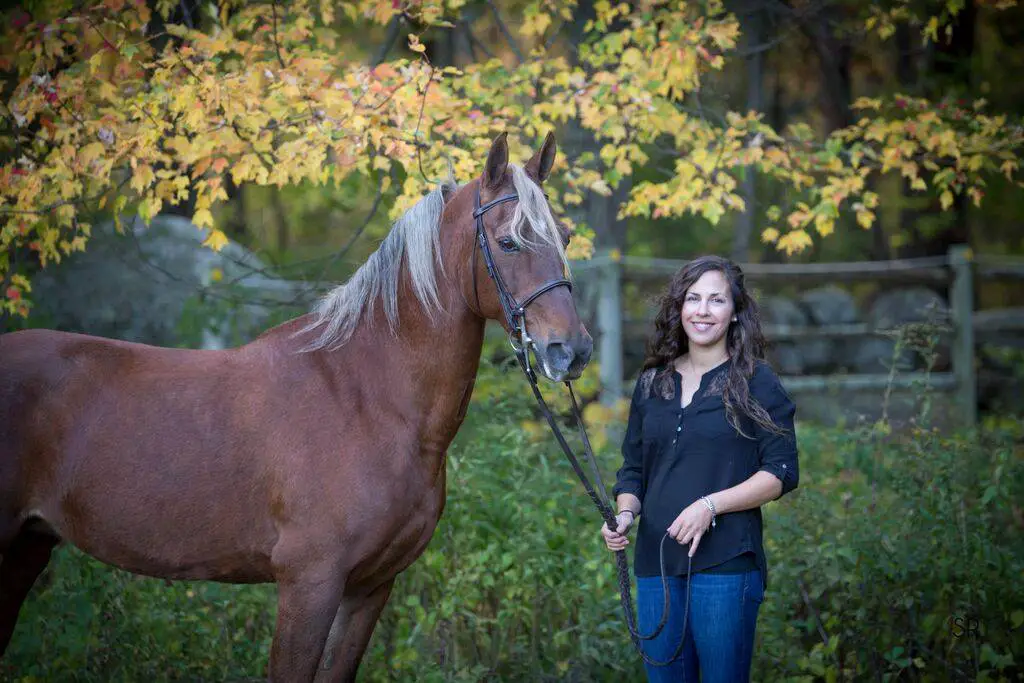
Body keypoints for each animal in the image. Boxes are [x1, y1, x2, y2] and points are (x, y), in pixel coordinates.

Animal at [0, 132, 593, 679]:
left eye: (563, 236)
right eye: (509, 242)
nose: (572, 350)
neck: (365, 399)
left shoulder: (370, 588)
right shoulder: (309, 584)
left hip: (26, 548)